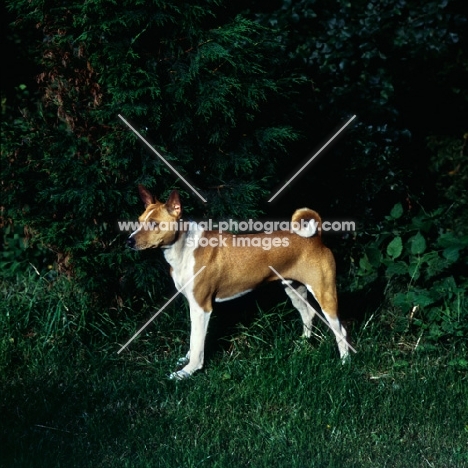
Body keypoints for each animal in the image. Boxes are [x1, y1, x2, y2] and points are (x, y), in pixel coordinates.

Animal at [126, 185, 350, 378]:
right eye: (139, 221)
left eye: (154, 224)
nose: (129, 241)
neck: (184, 248)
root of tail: (315, 238)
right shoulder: (192, 304)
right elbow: (193, 341)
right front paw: (186, 360)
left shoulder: (201, 307)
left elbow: (197, 343)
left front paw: (187, 372)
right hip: (294, 289)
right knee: (308, 314)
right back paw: (302, 344)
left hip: (324, 294)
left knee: (341, 330)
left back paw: (345, 363)